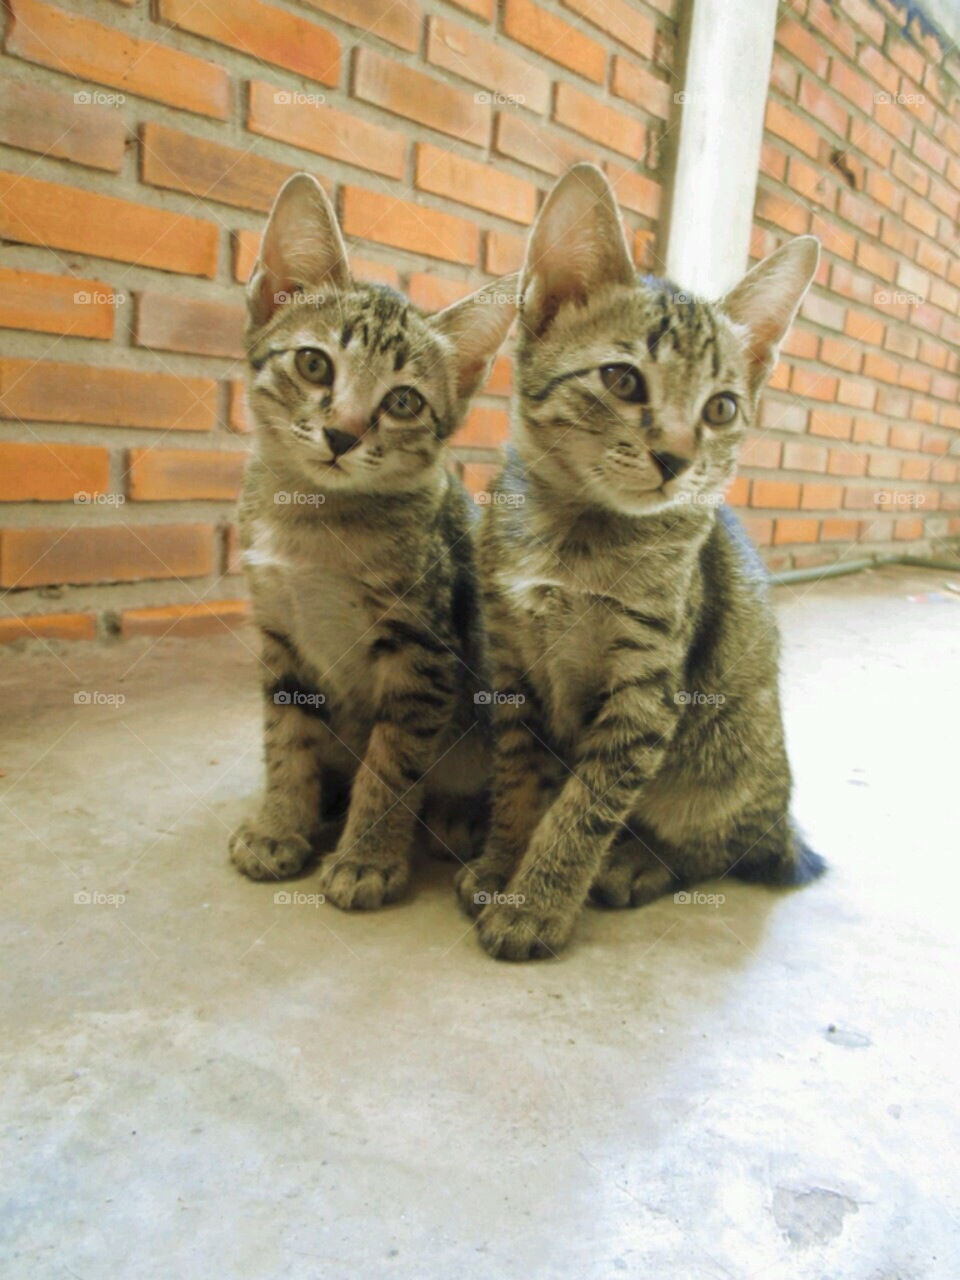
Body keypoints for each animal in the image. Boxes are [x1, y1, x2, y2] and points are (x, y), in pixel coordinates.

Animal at [231, 172, 519, 911]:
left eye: (404, 402)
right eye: (313, 363)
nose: (342, 433)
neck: (314, 521)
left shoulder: (421, 651)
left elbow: (393, 762)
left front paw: (367, 858)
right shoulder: (279, 634)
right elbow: (285, 739)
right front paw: (281, 822)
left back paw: (454, 818)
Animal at [458, 162, 829, 962]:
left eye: (721, 409)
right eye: (623, 380)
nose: (677, 458)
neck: (577, 533)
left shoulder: (646, 696)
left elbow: (586, 805)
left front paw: (536, 901)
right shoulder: (511, 666)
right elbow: (519, 777)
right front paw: (503, 860)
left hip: (721, 765)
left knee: (727, 847)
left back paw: (639, 863)